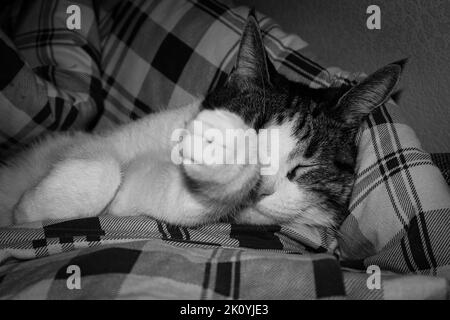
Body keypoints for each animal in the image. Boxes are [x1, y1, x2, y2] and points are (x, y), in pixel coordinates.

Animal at [0, 13, 402, 232]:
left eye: (305, 167)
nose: (261, 187)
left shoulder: (146, 203)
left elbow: (175, 203)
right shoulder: (103, 141)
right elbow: (100, 166)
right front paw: (27, 210)